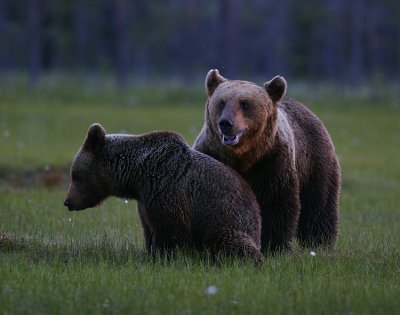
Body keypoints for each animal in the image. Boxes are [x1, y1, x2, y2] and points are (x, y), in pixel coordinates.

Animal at [64, 123, 264, 262]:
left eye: (75, 176)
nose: (67, 201)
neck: (137, 175)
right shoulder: (145, 200)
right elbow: (149, 228)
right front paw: (151, 253)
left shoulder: (167, 189)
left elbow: (171, 230)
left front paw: (167, 257)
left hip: (227, 220)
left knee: (231, 243)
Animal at [194, 69, 340, 254]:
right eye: (222, 102)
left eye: (245, 104)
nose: (225, 123)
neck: (243, 156)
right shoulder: (210, 154)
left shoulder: (272, 162)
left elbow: (276, 202)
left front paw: (272, 245)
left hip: (315, 162)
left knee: (319, 203)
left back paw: (320, 241)